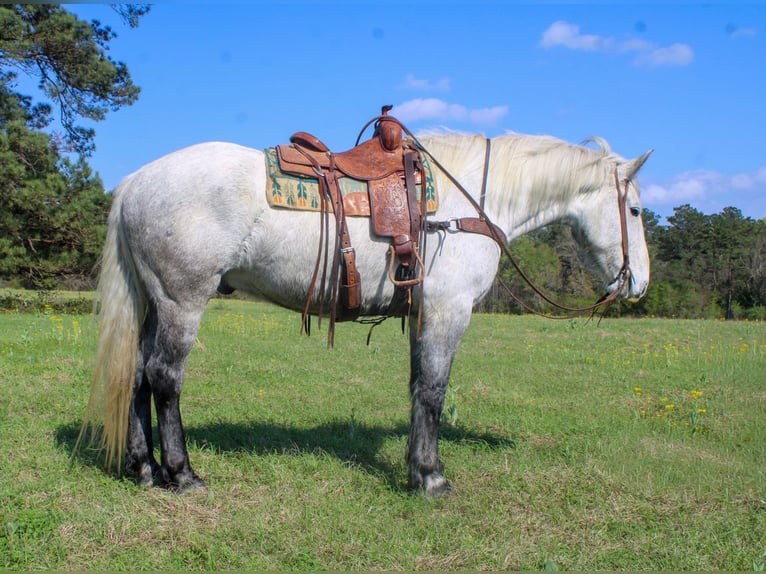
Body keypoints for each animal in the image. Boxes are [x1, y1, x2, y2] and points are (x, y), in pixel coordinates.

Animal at [79, 129, 652, 497]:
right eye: (635, 209)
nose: (638, 284)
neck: (467, 204)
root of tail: (135, 181)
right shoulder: (448, 311)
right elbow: (435, 391)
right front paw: (432, 479)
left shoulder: (423, 315)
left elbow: (419, 388)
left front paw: (416, 471)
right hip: (183, 301)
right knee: (164, 377)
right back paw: (181, 474)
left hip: (153, 303)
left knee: (136, 375)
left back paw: (144, 468)